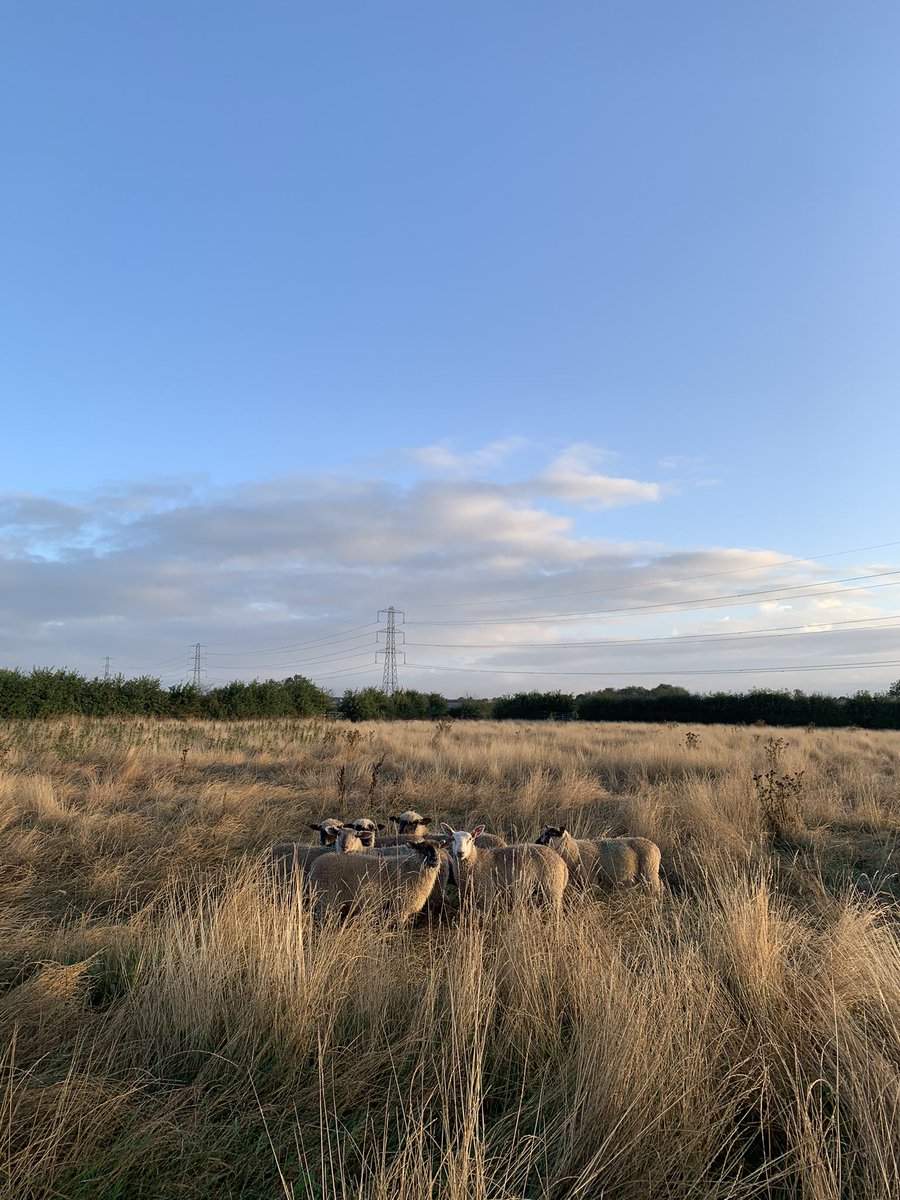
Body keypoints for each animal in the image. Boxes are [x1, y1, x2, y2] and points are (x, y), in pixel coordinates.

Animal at [307, 841, 443, 925]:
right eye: (423, 848)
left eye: (439, 847)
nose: (435, 859)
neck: (411, 868)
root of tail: (315, 865)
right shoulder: (400, 907)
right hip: (327, 901)